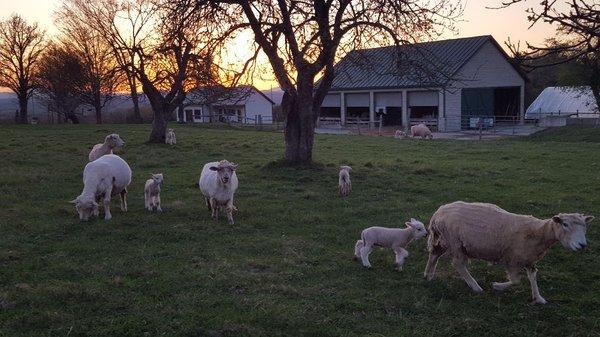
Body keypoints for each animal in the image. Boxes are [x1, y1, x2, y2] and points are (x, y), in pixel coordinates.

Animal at [424, 201, 592, 304]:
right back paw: (475, 286)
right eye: (565, 224)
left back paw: (428, 275)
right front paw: (497, 286)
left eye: (584, 226)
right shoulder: (512, 259)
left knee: (434, 255)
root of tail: (438, 213)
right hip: (455, 242)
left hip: (443, 240)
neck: (538, 233)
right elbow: (516, 281)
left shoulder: (529, 259)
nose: (582, 245)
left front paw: (538, 297)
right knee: (458, 264)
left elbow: (533, 277)